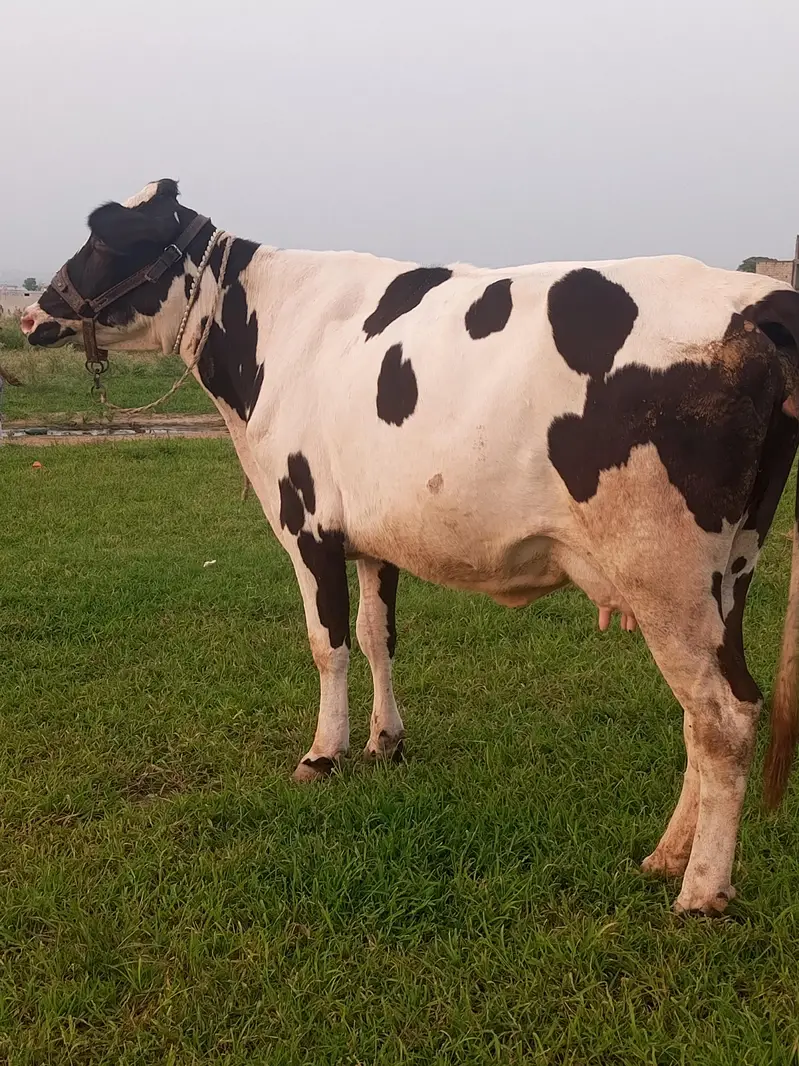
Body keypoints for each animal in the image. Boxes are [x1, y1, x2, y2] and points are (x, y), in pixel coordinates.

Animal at [21, 179, 799, 914]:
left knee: (722, 716)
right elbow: (376, 635)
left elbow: (328, 643)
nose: (32, 313)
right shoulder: (371, 537)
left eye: (103, 236)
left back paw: (700, 890)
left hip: (662, 569)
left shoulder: (306, 525)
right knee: (709, 710)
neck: (270, 333)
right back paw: (668, 855)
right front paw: (384, 742)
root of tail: (754, 300)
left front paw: (324, 754)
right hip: (732, 567)